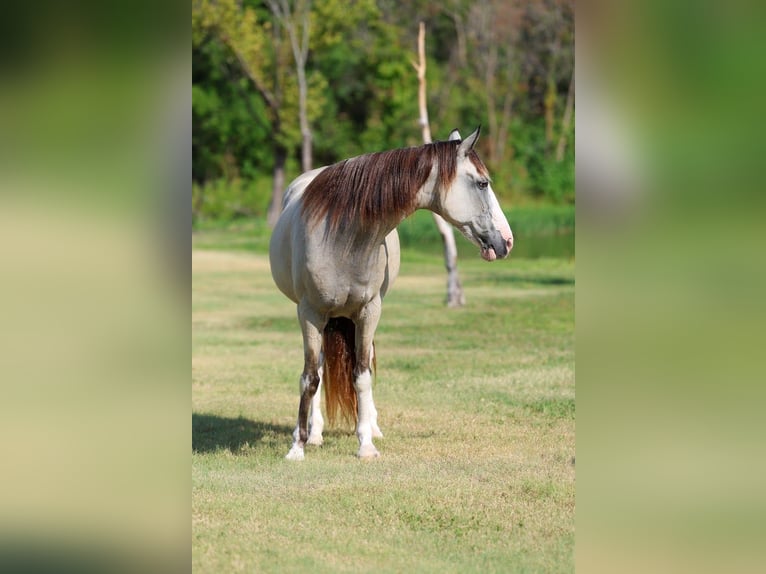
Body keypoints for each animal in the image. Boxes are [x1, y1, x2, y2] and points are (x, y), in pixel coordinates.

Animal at [268, 127, 513, 460]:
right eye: (482, 183)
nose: (507, 241)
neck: (342, 238)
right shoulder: (309, 314)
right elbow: (309, 378)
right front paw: (297, 447)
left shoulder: (368, 312)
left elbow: (361, 375)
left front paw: (366, 445)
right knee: (317, 366)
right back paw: (313, 433)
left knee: (365, 363)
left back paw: (371, 427)